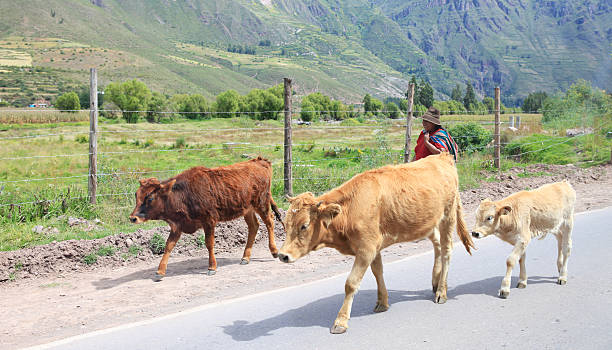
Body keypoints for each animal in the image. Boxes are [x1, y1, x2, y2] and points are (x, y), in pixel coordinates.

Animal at [130, 157, 284, 280]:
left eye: (150, 198)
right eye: (136, 195)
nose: (133, 218)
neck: (183, 195)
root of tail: (259, 161)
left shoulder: (209, 221)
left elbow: (209, 244)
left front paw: (212, 267)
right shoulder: (177, 226)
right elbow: (168, 246)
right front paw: (160, 271)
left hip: (262, 203)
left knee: (269, 222)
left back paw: (274, 251)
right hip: (247, 209)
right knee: (254, 226)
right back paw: (245, 257)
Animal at [278, 153, 474, 334]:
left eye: (304, 225)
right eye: (286, 223)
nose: (282, 255)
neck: (350, 209)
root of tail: (442, 156)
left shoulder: (366, 249)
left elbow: (351, 283)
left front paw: (341, 321)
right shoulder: (373, 246)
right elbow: (377, 271)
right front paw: (382, 302)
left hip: (448, 216)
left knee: (446, 250)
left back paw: (441, 291)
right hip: (428, 223)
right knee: (437, 245)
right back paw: (435, 281)